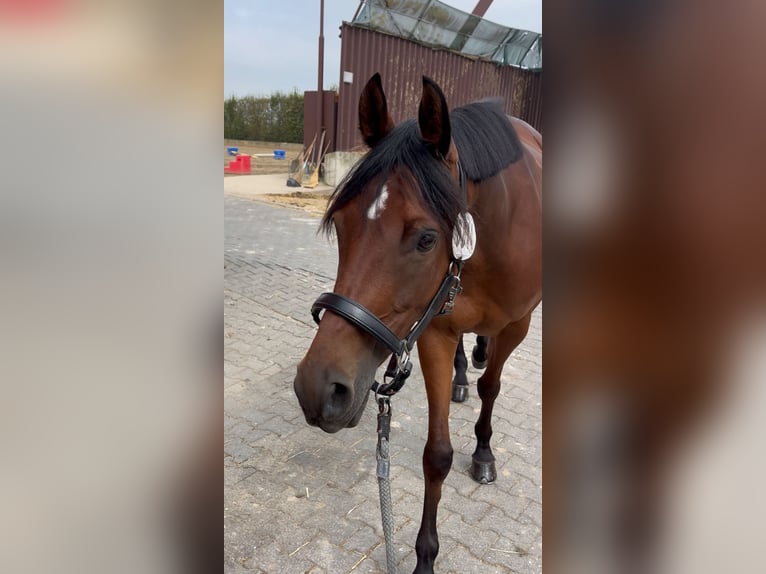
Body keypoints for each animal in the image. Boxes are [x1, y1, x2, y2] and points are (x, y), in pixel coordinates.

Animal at [292, 74, 540, 572]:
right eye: (341, 226)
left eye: (426, 239)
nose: (319, 388)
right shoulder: (435, 332)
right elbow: (436, 455)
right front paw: (425, 556)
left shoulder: (518, 326)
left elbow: (492, 389)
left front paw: (484, 452)